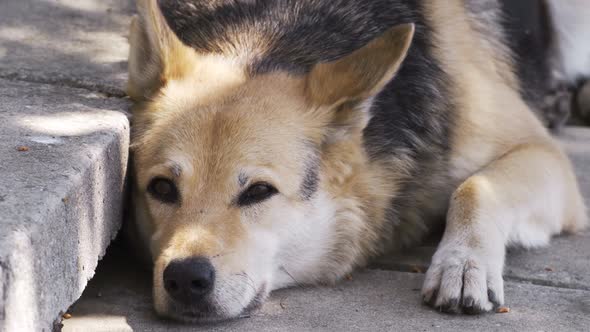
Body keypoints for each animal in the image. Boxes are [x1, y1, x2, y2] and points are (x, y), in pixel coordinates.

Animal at [125, 0, 588, 322]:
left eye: (258, 192)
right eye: (161, 188)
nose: (184, 278)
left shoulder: (544, 155)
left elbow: (474, 187)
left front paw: (463, 261)